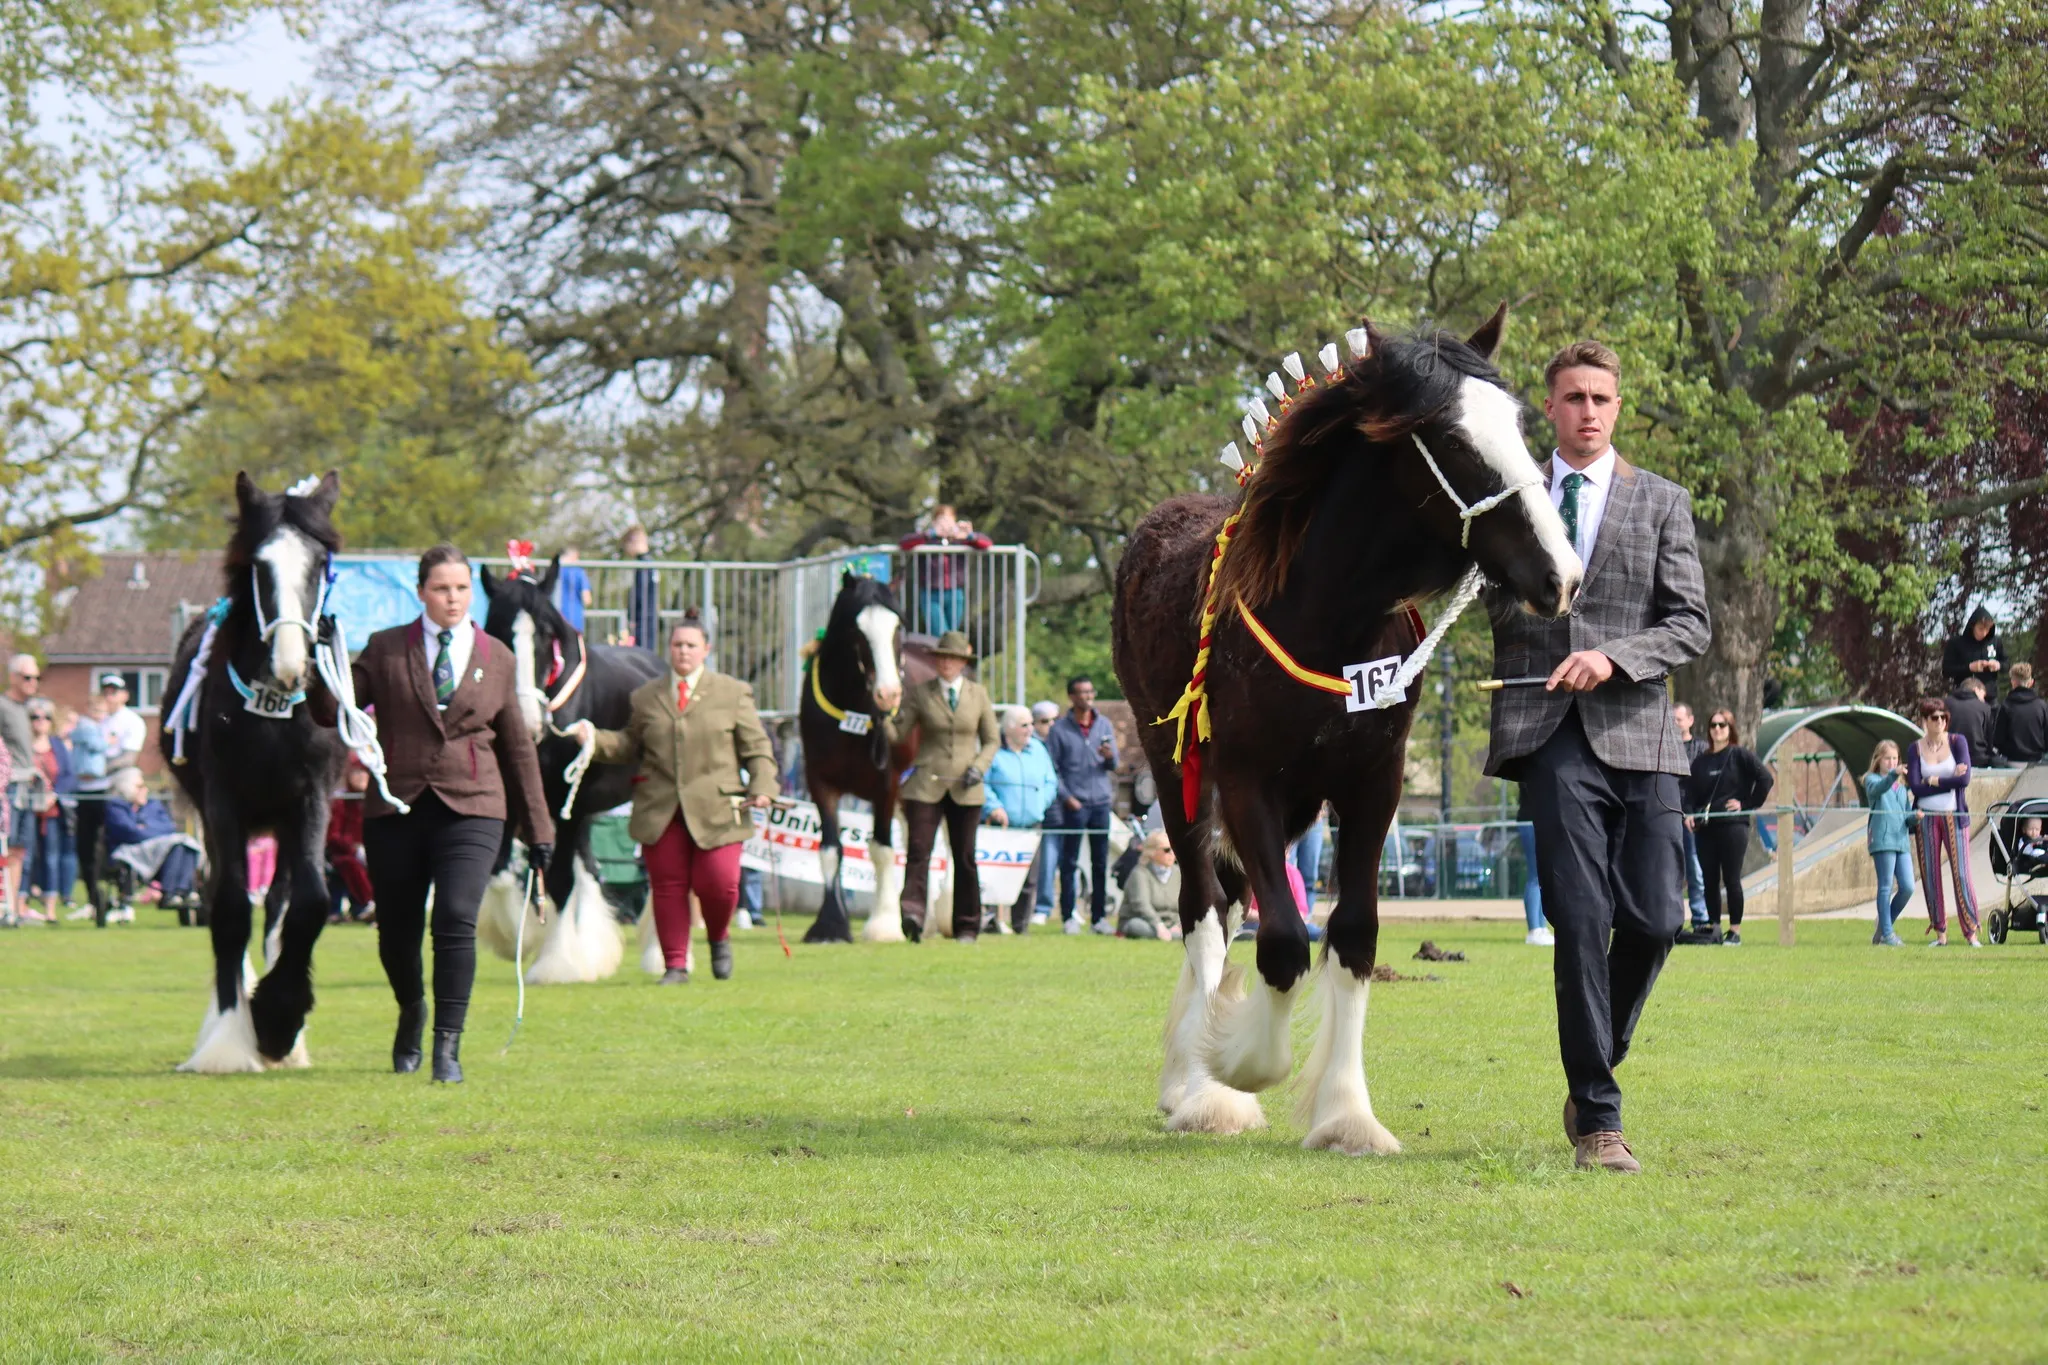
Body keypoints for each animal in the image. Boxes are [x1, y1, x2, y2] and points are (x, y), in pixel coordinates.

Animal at [161, 471, 348, 1072]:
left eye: (320, 563)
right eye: (259, 565)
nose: (292, 665)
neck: (271, 714)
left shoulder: (311, 800)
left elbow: (309, 902)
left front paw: (280, 1020)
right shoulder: (224, 803)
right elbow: (228, 907)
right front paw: (231, 1036)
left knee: (279, 906)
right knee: (227, 896)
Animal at [478, 557, 662, 979]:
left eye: (547, 635)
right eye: (496, 630)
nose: (526, 723)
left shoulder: (564, 806)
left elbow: (560, 879)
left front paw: (555, 962)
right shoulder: (518, 799)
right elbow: (500, 870)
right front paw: (515, 935)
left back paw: (657, 955)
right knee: (591, 869)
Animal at [799, 573, 919, 943]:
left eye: (898, 625)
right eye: (857, 629)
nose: (889, 695)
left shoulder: (887, 783)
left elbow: (881, 850)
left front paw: (884, 924)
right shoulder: (819, 780)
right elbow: (830, 849)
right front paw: (829, 924)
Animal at [1111, 308, 1582, 1151]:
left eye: (1523, 423)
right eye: (1453, 440)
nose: (1561, 576)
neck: (1328, 618)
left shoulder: (1373, 781)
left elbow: (1352, 933)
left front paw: (1345, 1112)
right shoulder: (1246, 781)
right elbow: (1284, 940)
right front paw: (1235, 1060)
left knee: (1229, 903)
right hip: (1176, 775)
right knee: (1203, 909)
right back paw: (1196, 1086)